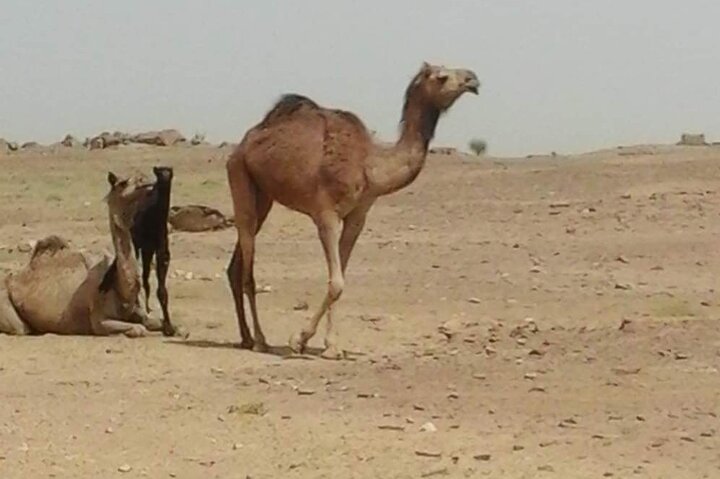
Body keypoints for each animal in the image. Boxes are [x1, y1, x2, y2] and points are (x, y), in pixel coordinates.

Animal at [0, 172, 163, 337]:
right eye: (123, 183)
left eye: (141, 176)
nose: (146, 181)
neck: (123, 290)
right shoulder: (99, 320)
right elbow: (138, 328)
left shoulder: (140, 312)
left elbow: (156, 322)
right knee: (22, 328)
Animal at [226, 62, 480, 359]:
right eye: (442, 76)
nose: (473, 80)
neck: (370, 166)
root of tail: (244, 143)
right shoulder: (326, 214)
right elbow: (336, 282)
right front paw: (299, 339)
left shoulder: (358, 216)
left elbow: (340, 279)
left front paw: (331, 345)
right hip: (239, 176)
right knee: (247, 270)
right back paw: (260, 340)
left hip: (263, 195)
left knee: (235, 266)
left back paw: (245, 337)